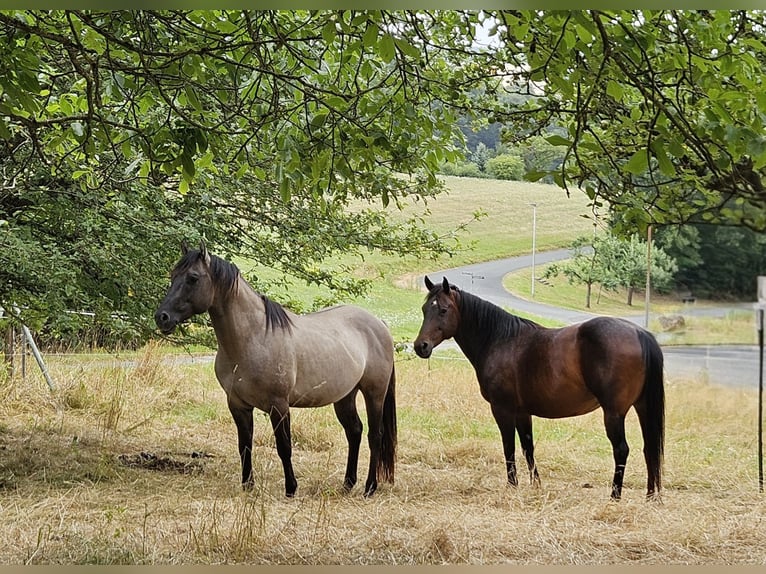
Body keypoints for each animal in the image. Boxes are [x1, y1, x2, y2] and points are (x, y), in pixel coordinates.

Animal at [154, 243, 397, 497]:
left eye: (193, 278)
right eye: (173, 276)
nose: (162, 317)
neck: (254, 337)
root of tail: (379, 324)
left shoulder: (278, 405)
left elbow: (284, 447)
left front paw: (291, 489)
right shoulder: (238, 405)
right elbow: (244, 446)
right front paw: (247, 486)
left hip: (374, 394)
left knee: (375, 436)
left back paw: (370, 487)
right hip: (345, 396)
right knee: (354, 432)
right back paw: (348, 483)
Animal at [413, 276, 664, 501]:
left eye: (443, 310)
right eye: (425, 309)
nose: (420, 346)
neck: (499, 340)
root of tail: (639, 333)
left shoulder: (502, 409)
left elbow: (509, 447)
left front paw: (512, 486)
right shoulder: (522, 412)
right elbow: (527, 447)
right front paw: (536, 485)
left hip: (613, 413)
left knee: (621, 449)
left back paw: (615, 496)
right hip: (642, 407)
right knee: (649, 447)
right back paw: (651, 496)